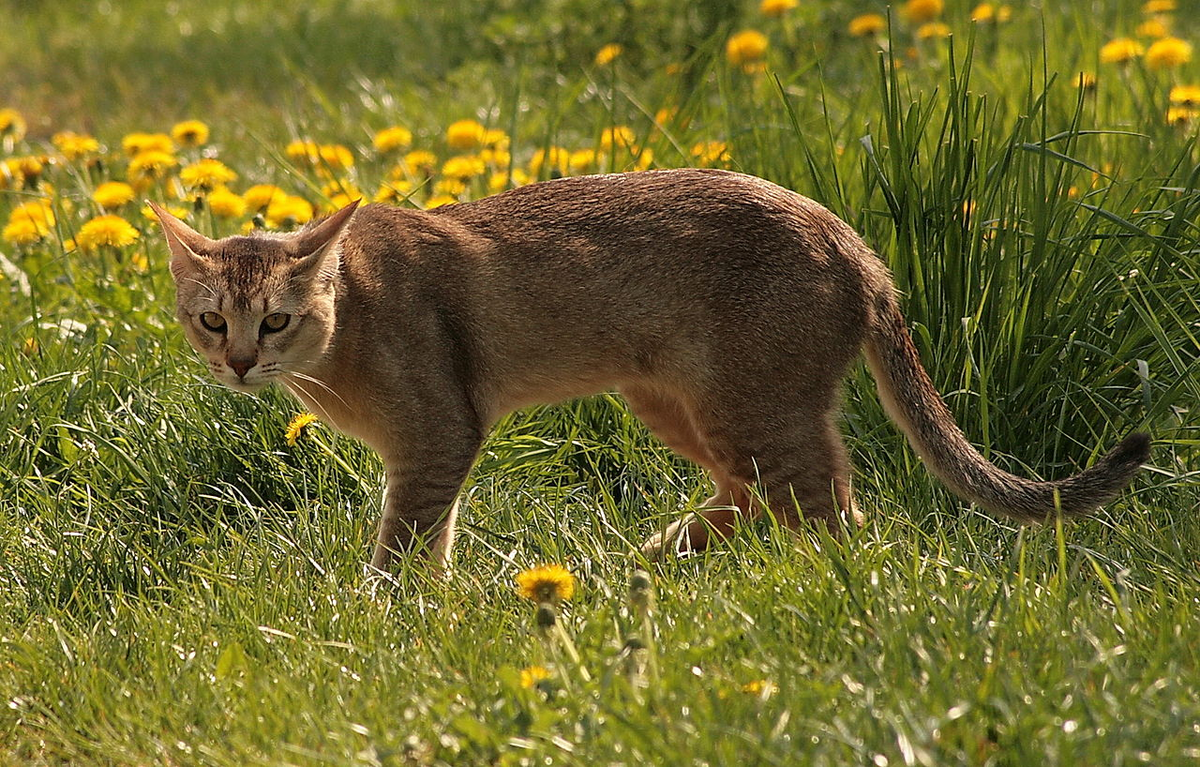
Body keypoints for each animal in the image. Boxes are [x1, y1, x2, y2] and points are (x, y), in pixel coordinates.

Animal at [150, 169, 1152, 576]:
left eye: (276, 319)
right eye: (212, 319)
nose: (240, 363)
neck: (346, 323)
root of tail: (857, 247)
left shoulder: (438, 434)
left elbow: (403, 543)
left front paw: (382, 614)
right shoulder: (432, 451)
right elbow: (430, 538)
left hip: (751, 408)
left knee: (840, 509)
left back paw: (825, 590)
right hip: (675, 404)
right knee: (755, 497)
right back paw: (646, 562)